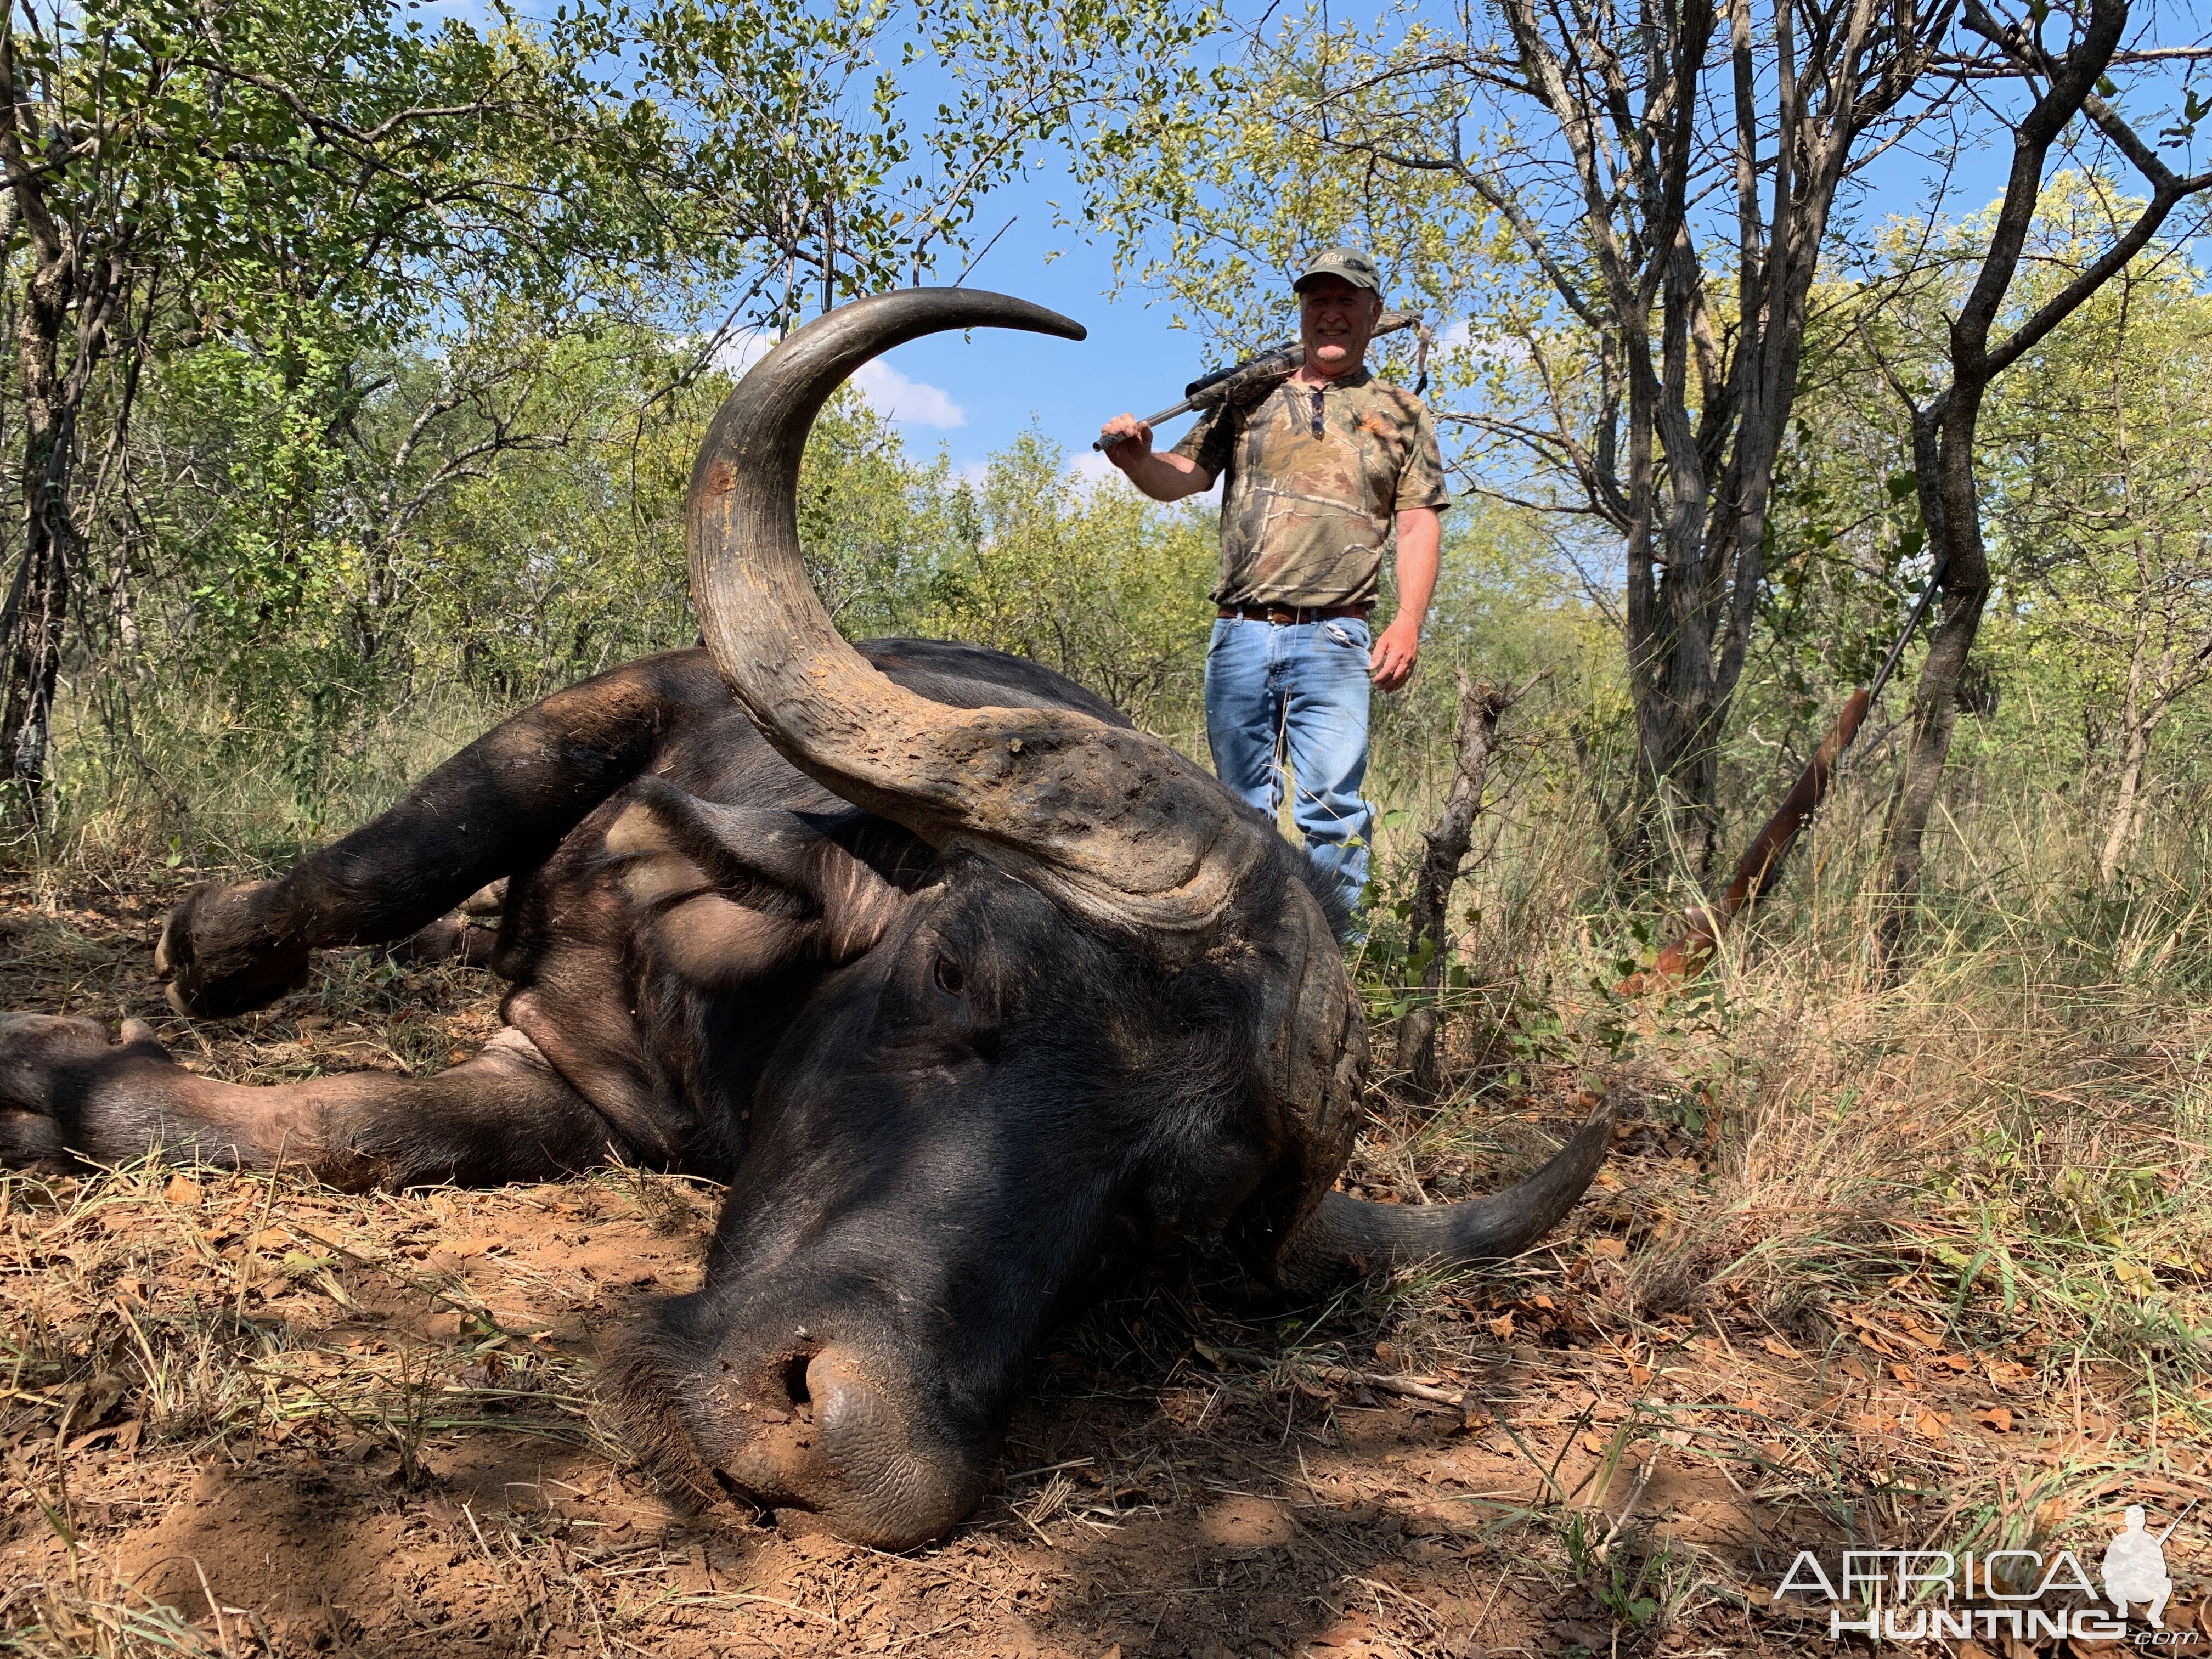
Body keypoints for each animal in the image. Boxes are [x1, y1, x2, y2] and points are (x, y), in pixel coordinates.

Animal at [0, 292, 1610, 1557]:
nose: (847, 1445)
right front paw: (140, 998)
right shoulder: (603, 713)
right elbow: (375, 873)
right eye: (954, 969)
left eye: (1167, 1214)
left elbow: (372, 1125)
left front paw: (65, 1080)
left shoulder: (576, 1099)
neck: (728, 1034)